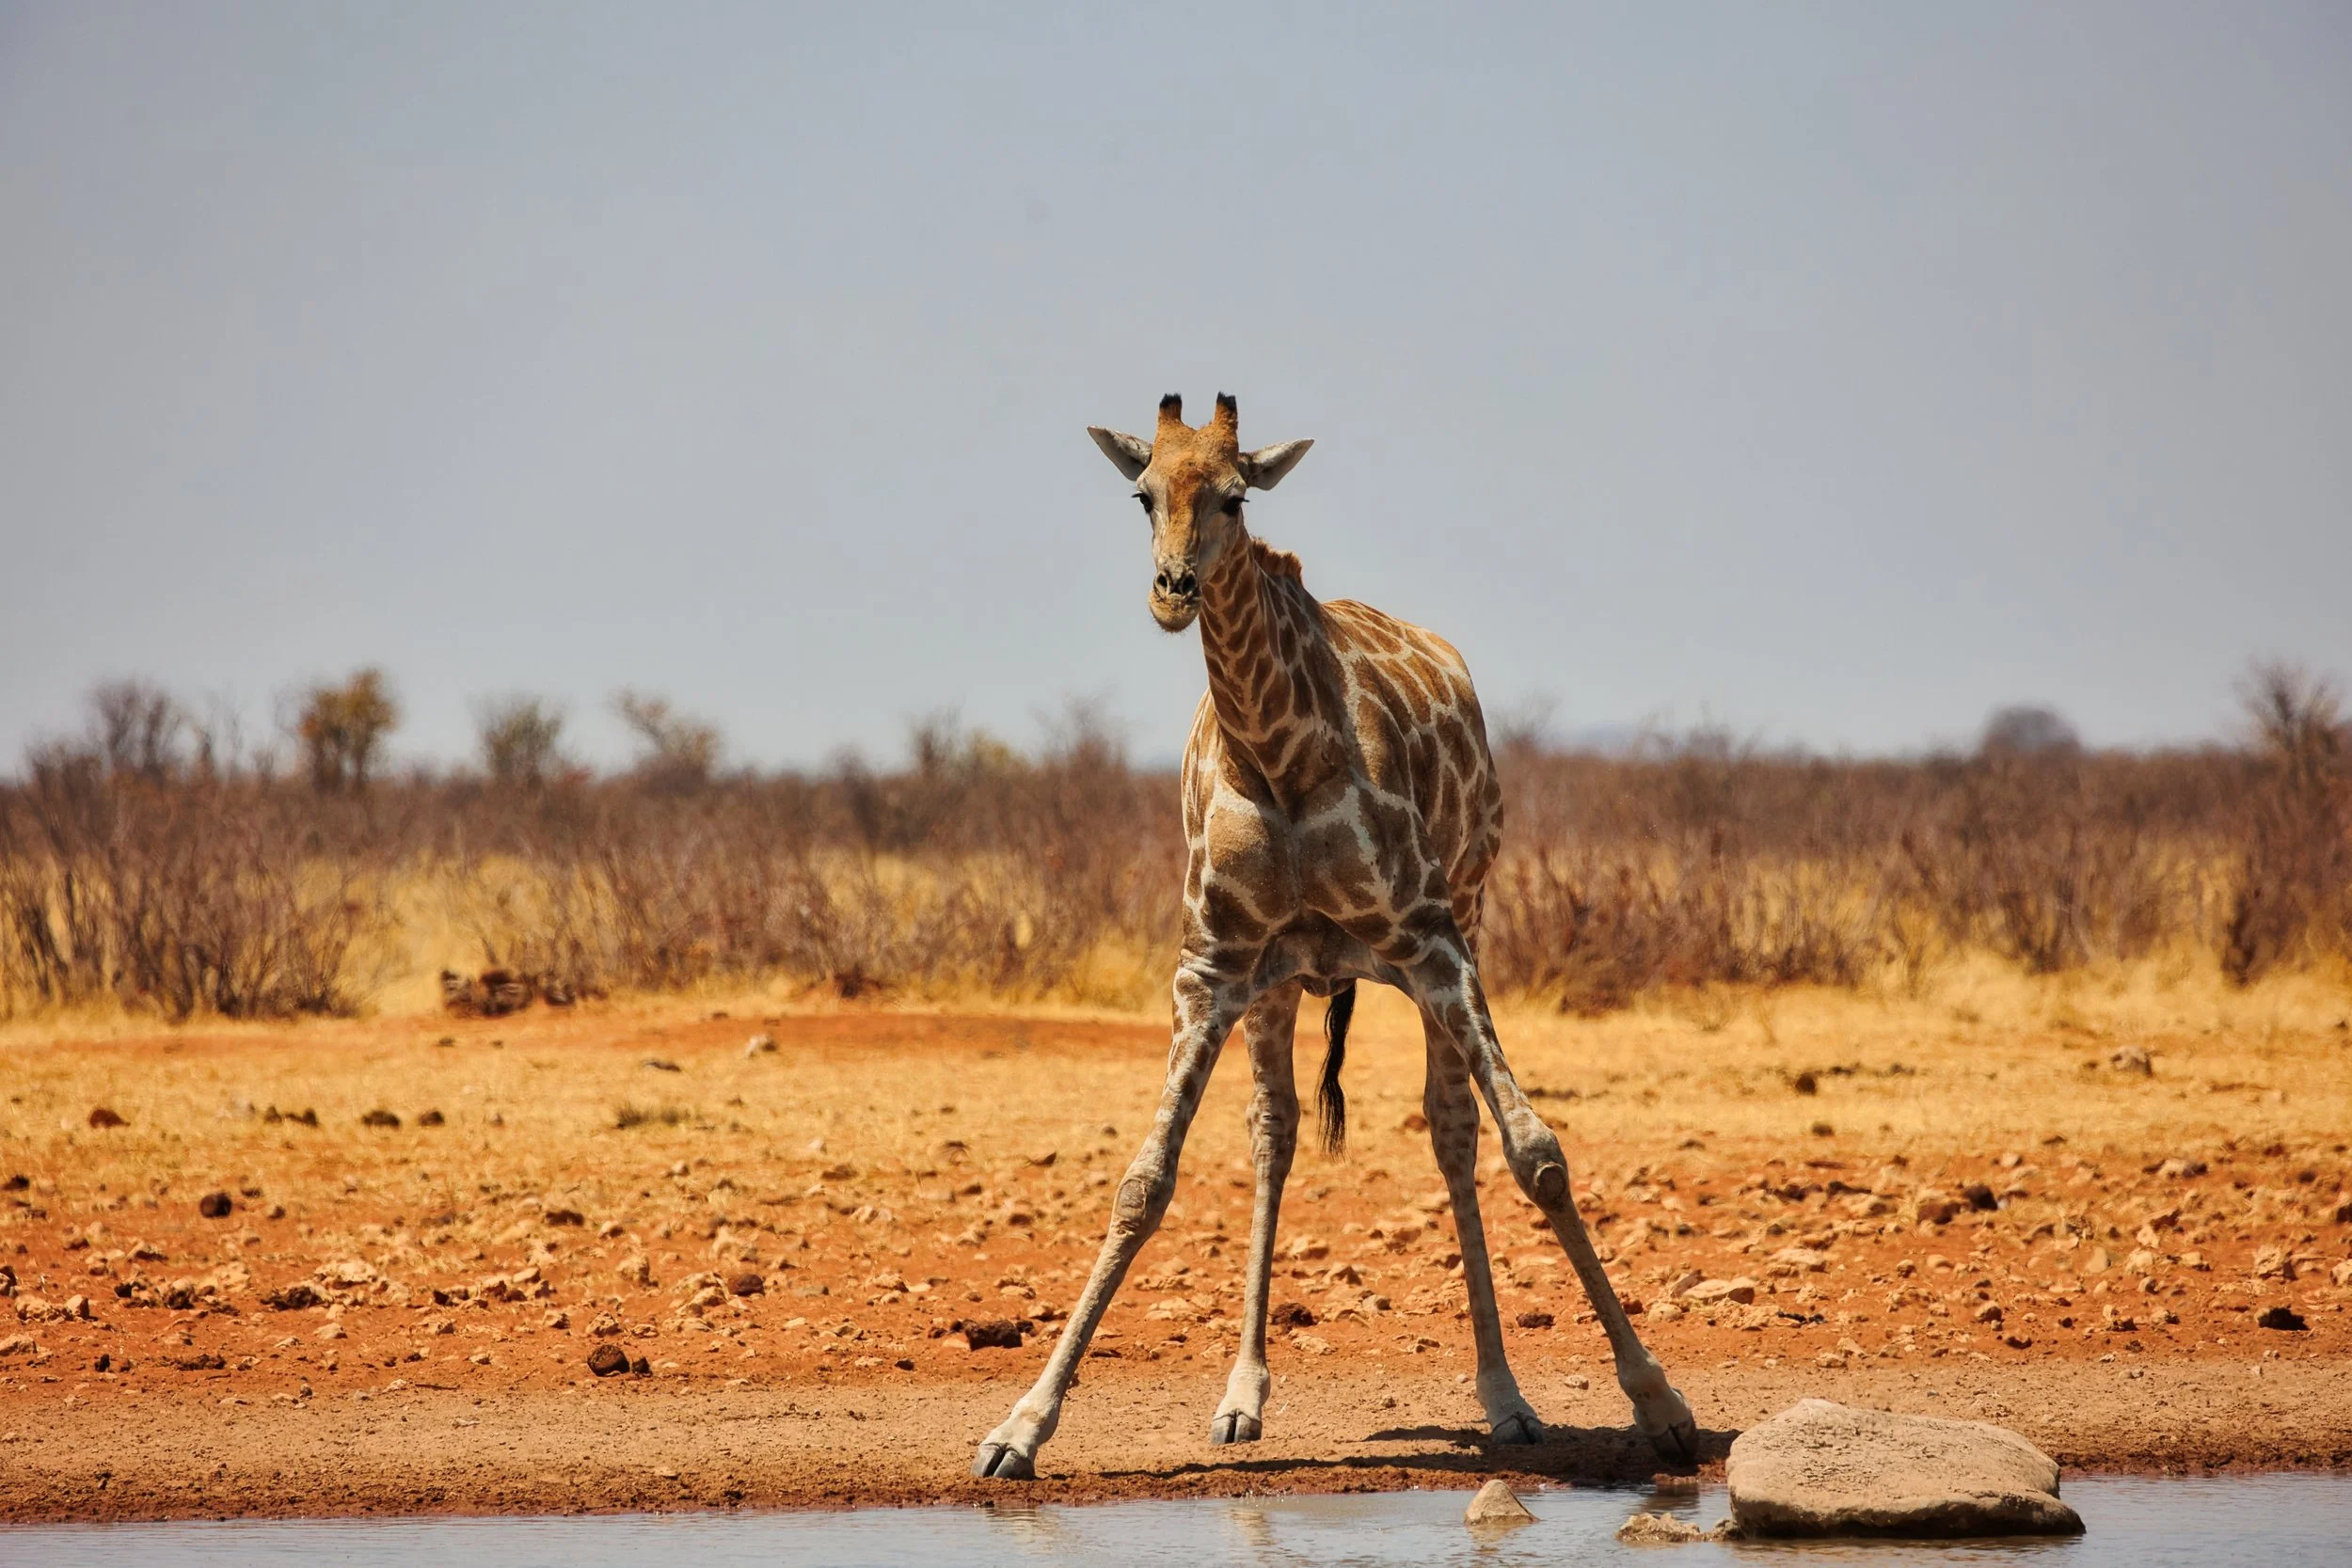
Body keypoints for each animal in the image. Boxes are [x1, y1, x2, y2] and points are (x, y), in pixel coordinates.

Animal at [971, 393, 1696, 1480]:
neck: (1279, 753)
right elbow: (1144, 1183)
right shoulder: (1209, 966)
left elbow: (1536, 1151)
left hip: (1465, 916)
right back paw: (1241, 1395)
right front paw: (1020, 1425)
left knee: (1452, 1130)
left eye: (1235, 495)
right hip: (1278, 984)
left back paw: (1505, 1398)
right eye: (1143, 493)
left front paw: (1660, 1402)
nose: (1172, 591)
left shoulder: (1432, 939)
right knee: (1272, 1134)